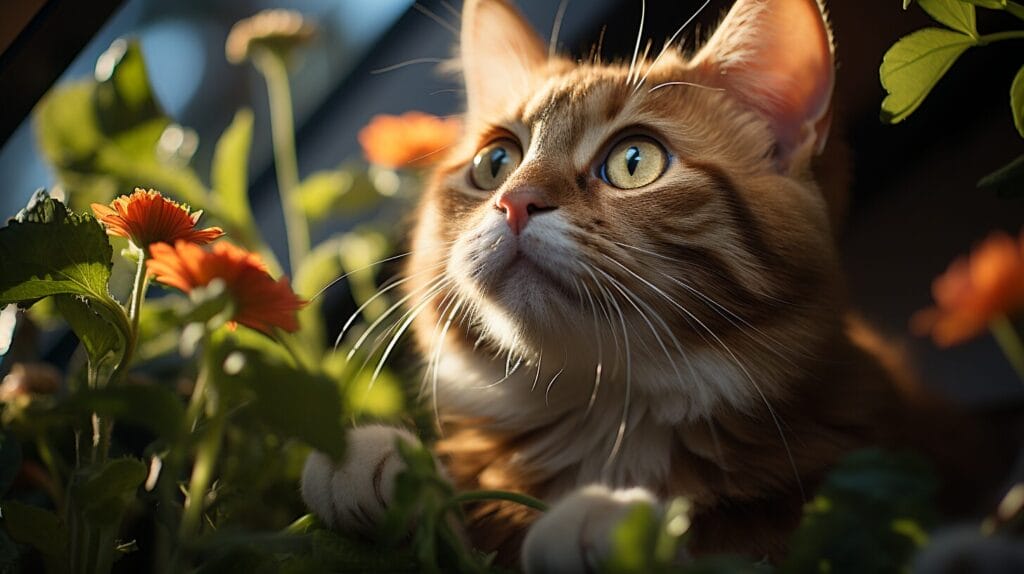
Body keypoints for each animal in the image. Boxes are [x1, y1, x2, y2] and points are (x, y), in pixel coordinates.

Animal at [299, 0, 1011, 564]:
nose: (514, 201)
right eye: (495, 161)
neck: (606, 416)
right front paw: (380, 462)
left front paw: (612, 520)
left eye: (633, 161)